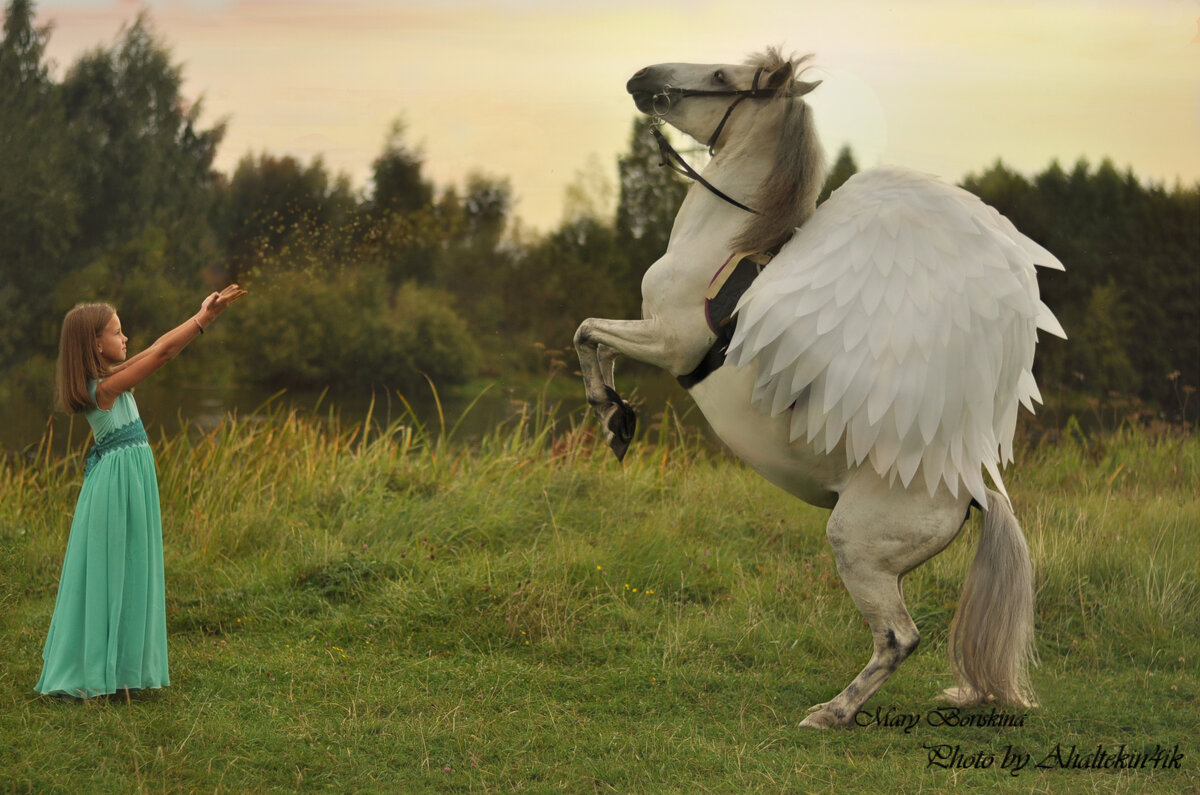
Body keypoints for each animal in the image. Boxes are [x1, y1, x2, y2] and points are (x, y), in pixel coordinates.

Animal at [576, 46, 1065, 730]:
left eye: (724, 77)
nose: (642, 78)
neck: (722, 246)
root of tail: (969, 488)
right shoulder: (650, 336)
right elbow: (592, 337)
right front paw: (616, 420)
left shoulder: (667, 342)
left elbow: (588, 332)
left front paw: (611, 415)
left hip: (857, 548)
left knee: (898, 638)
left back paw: (831, 713)